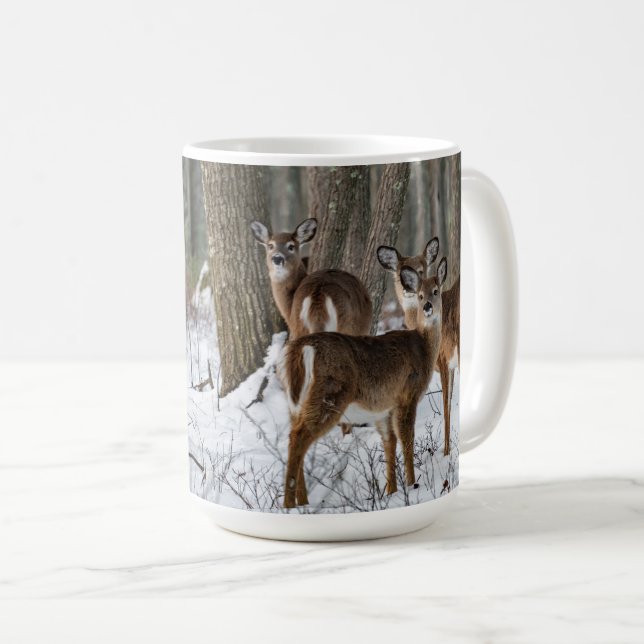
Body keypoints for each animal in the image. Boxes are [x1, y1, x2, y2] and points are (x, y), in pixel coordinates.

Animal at [280, 257, 448, 509]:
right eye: (419, 295)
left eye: (436, 291)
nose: (428, 306)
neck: (423, 347)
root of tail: (302, 348)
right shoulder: (407, 394)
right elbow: (407, 440)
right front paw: (412, 483)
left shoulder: (384, 409)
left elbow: (390, 443)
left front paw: (391, 491)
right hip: (330, 394)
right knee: (298, 437)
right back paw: (291, 504)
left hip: (295, 402)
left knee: (293, 435)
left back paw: (303, 502)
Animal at [377, 239, 460, 456]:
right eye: (399, 272)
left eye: (421, 270)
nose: (408, 288)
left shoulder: (444, 357)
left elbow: (447, 408)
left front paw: (445, 453)